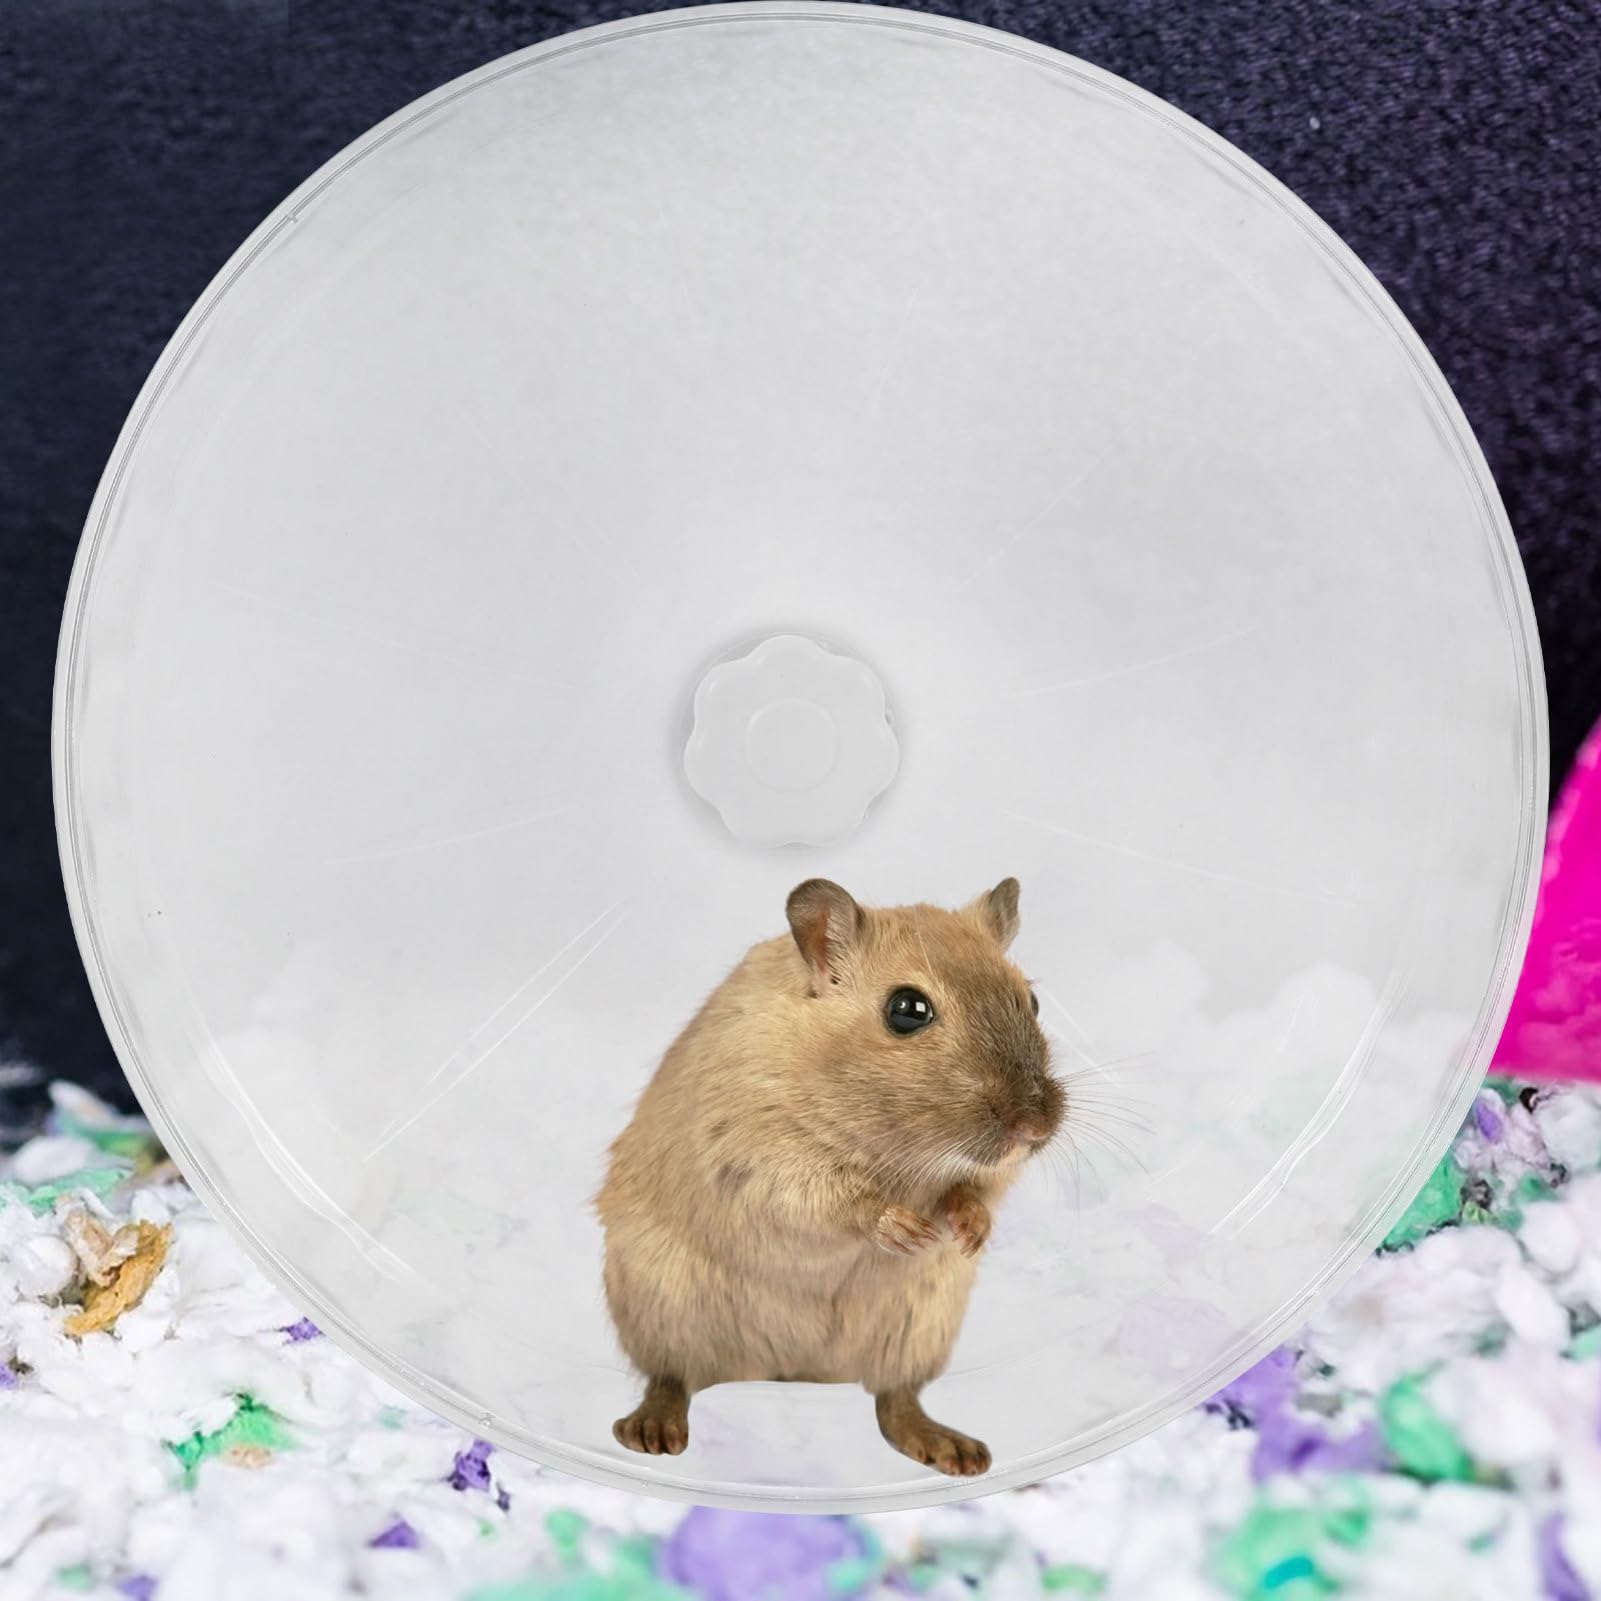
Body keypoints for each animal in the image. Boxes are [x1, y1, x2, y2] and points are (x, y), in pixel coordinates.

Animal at [596, 876, 1064, 1476]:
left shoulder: (985, 1174)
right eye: (907, 1010)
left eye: (1032, 1000)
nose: (1035, 1128)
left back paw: (956, 1452)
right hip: (662, 1308)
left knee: (894, 1399)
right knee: (670, 1377)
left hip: (918, 1327)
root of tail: (791, 1373)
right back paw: (651, 1432)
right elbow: (837, 1201)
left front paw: (968, 1233)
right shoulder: (759, 1154)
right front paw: (908, 1231)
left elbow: (975, 1190)